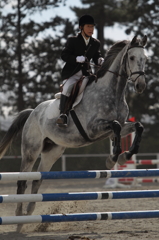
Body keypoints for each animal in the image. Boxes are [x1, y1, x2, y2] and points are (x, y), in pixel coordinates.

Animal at [0, 35, 147, 221]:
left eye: (145, 58)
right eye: (132, 58)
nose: (141, 85)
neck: (112, 92)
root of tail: (33, 112)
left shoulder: (115, 128)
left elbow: (137, 127)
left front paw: (124, 156)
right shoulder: (93, 128)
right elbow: (115, 126)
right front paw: (112, 159)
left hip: (52, 152)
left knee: (37, 180)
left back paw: (29, 212)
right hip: (31, 150)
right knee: (22, 181)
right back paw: (20, 215)